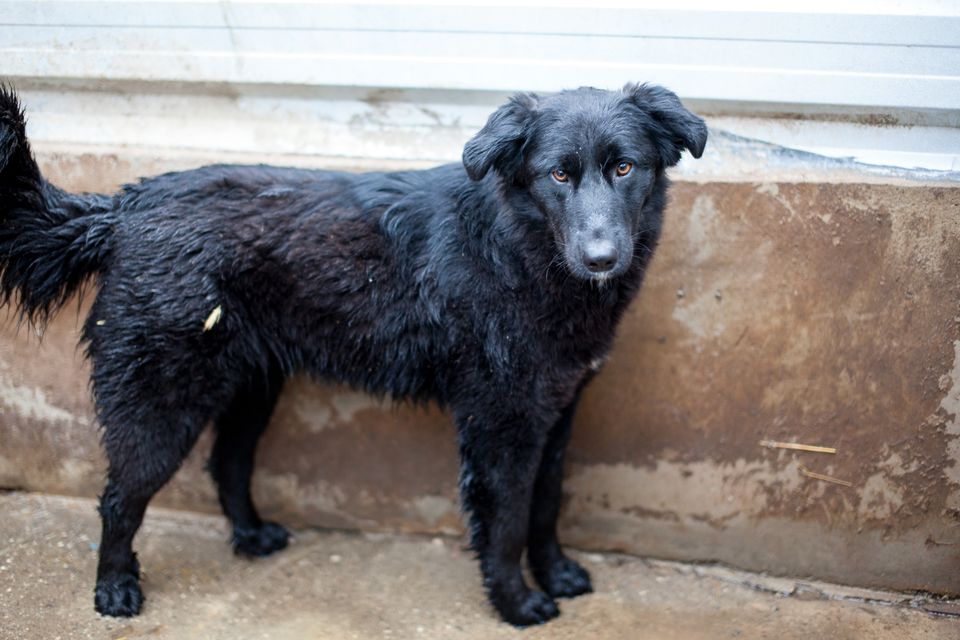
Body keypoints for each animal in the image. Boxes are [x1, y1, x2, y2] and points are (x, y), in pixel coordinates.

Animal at [0, 84, 704, 624]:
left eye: (625, 168)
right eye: (558, 173)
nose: (601, 258)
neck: (515, 246)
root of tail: (123, 205)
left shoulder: (555, 414)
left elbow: (548, 506)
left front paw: (555, 574)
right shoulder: (500, 425)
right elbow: (505, 524)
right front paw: (517, 604)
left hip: (251, 386)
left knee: (227, 463)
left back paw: (250, 536)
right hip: (161, 400)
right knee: (120, 498)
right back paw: (115, 588)